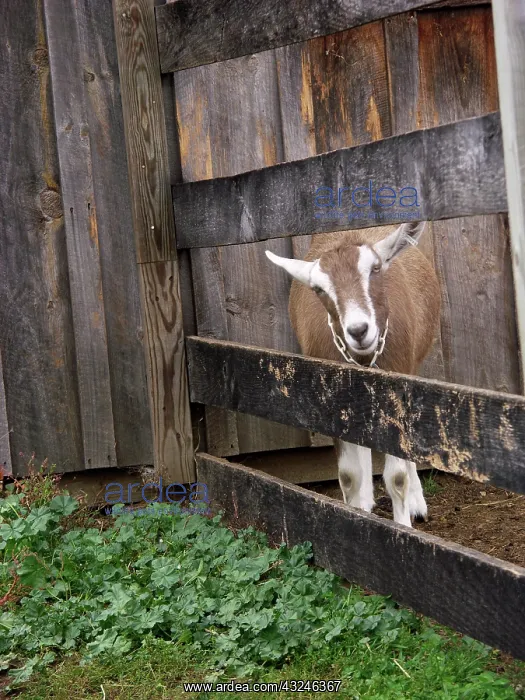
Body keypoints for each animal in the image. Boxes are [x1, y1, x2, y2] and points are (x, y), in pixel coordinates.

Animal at [266, 222, 440, 528]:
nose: (359, 330)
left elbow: (397, 477)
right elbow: (349, 476)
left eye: (376, 268)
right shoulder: (333, 404)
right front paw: (354, 517)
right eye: (318, 289)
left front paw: (403, 526)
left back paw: (416, 503)